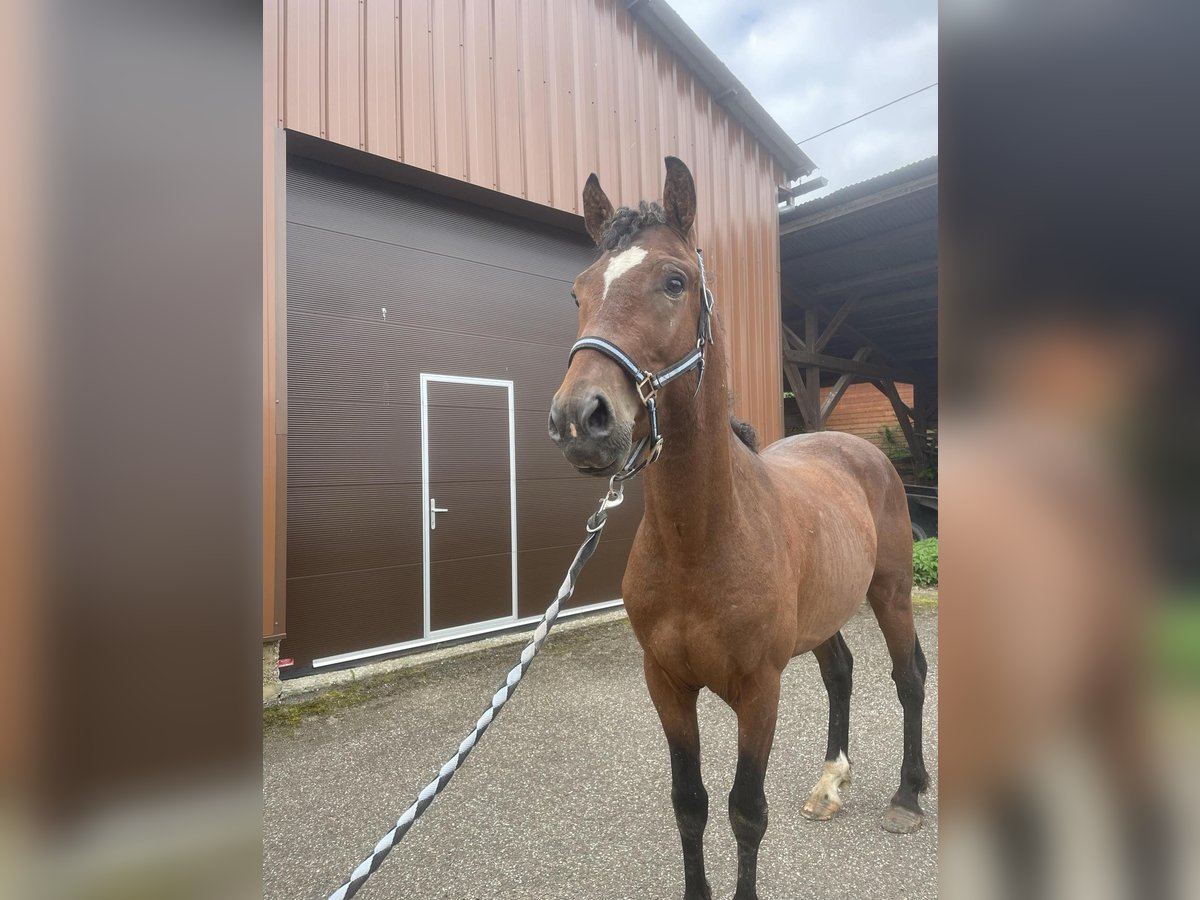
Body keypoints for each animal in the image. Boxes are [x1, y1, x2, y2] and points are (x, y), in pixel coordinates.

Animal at [549, 158, 931, 897]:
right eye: (578, 289)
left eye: (674, 281)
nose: (581, 419)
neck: (701, 541)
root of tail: (859, 451)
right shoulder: (666, 684)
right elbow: (690, 804)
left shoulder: (760, 691)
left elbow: (745, 811)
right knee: (841, 672)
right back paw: (831, 781)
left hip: (892, 592)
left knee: (909, 674)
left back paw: (907, 796)